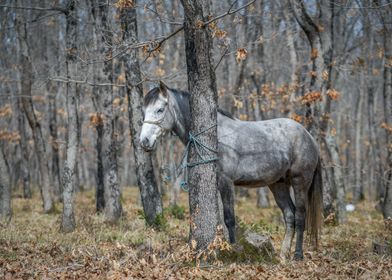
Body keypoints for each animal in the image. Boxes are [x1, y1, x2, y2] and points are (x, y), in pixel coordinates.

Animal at [139, 81, 324, 260]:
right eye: (144, 112)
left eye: (160, 109)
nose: (144, 142)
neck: (218, 139)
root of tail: (309, 136)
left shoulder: (226, 182)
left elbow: (229, 219)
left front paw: (233, 250)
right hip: (278, 184)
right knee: (289, 215)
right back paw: (284, 254)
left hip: (300, 182)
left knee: (300, 216)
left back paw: (298, 255)